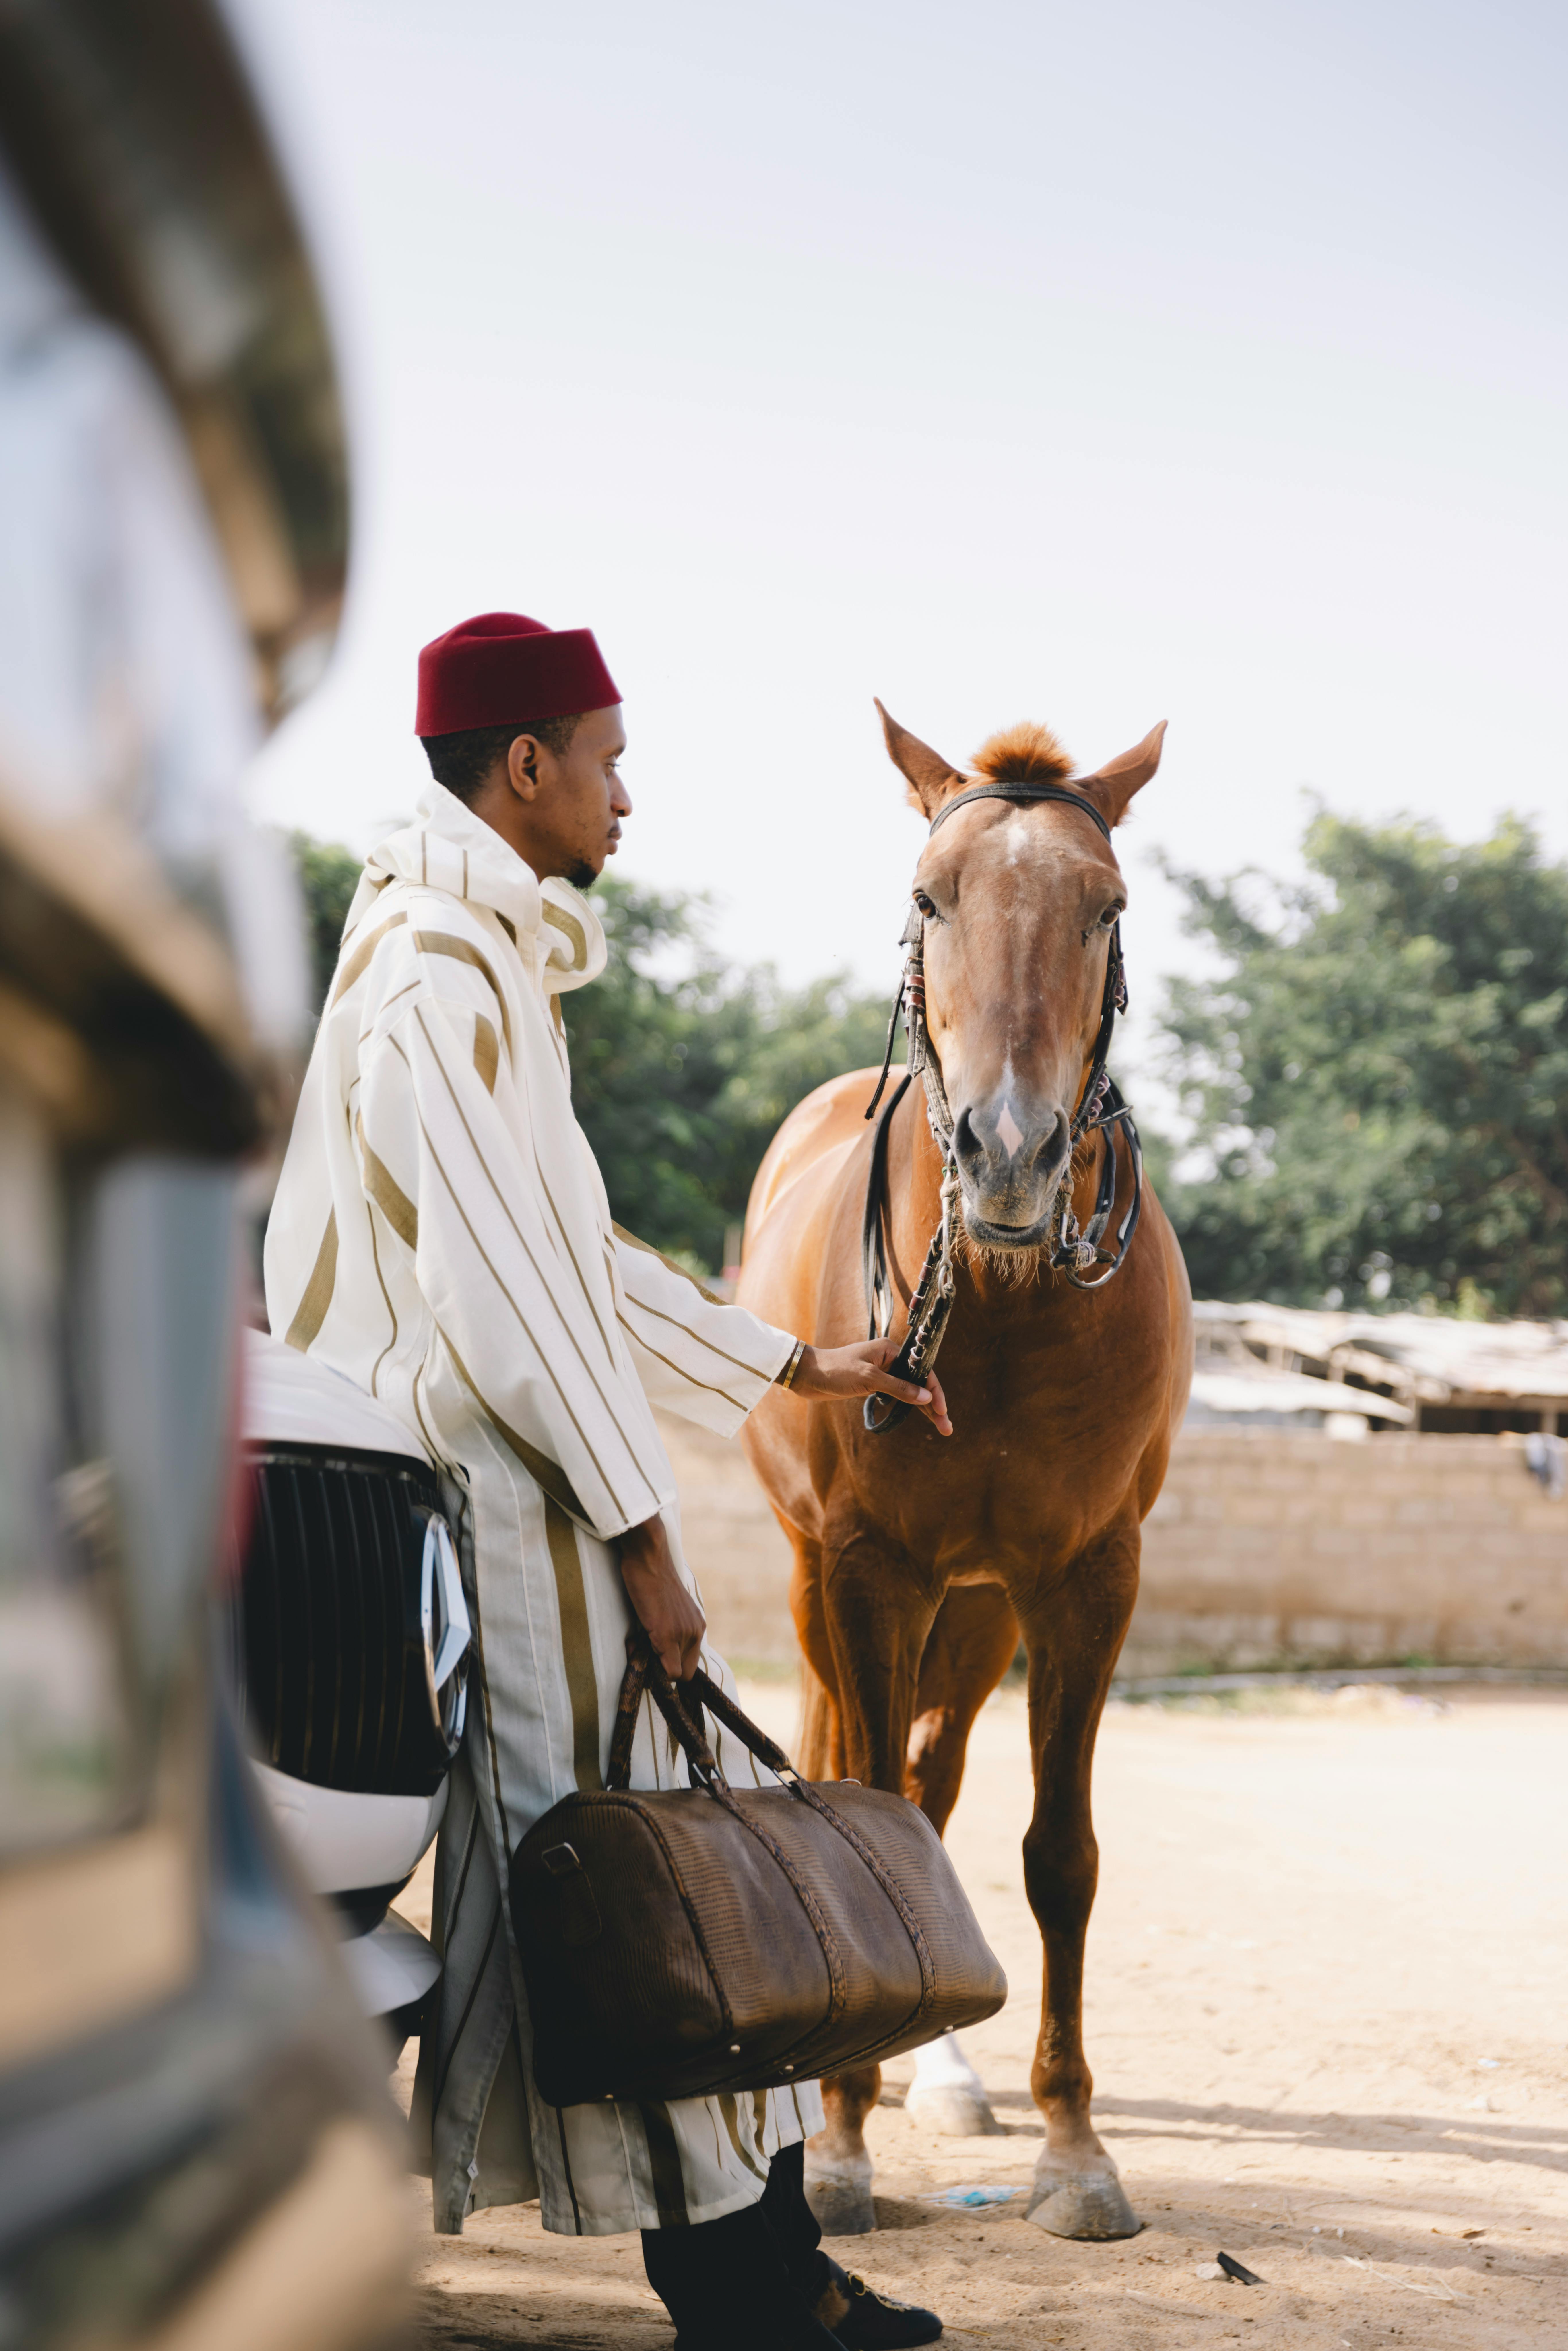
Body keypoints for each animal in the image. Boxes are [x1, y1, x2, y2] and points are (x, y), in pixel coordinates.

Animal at [736, 702, 1192, 2241]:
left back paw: (933, 2069)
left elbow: (1061, 1854)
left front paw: (1075, 2152)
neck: (1000, 1306)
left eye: (1106, 908)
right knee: (858, 1771)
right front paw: (838, 2144)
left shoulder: (1084, 1582)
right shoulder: (866, 1571)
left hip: (980, 1607)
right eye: (932, 896)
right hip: (825, 1583)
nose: (1006, 1151)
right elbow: (868, 1816)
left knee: (933, 1795)